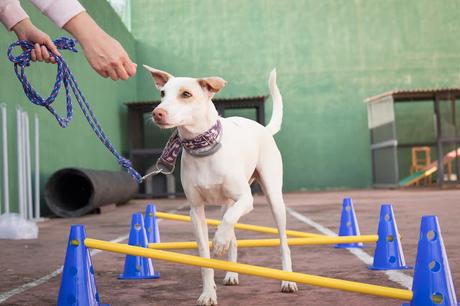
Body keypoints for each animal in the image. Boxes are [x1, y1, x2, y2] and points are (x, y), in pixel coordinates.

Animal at [144, 64, 298, 304]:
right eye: (162, 94)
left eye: (186, 94)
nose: (157, 113)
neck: (204, 148)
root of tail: (263, 129)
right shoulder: (196, 211)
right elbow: (205, 260)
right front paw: (208, 293)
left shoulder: (246, 198)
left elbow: (228, 222)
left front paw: (219, 242)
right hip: (227, 202)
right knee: (233, 230)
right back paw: (232, 272)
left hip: (274, 200)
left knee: (282, 242)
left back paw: (287, 280)